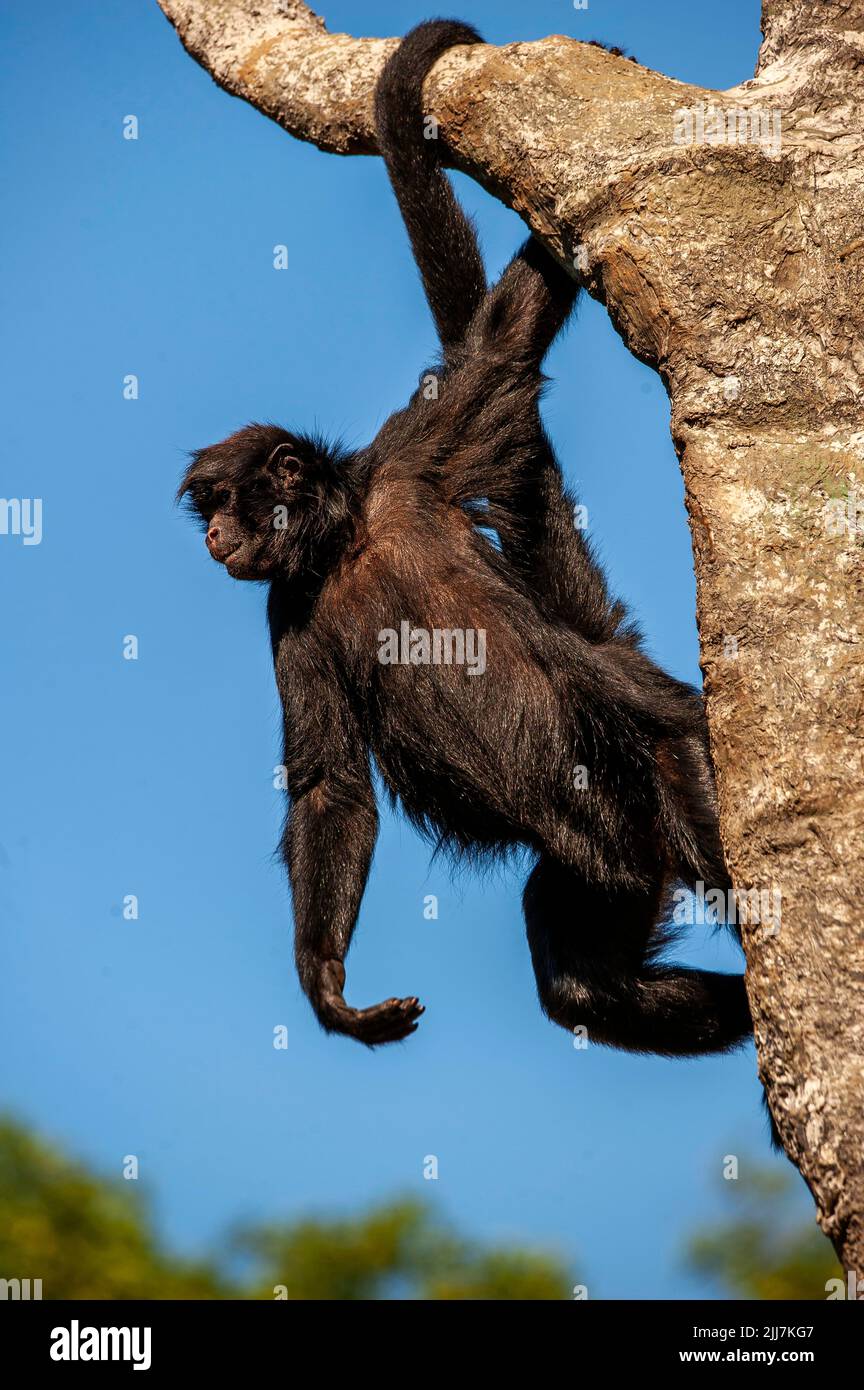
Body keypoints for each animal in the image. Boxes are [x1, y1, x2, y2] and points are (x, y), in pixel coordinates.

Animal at [178, 20, 752, 1058]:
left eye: (225, 505)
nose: (212, 538)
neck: (350, 543)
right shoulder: (288, 607)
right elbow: (330, 787)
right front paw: (330, 989)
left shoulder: (418, 455)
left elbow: (502, 345)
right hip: (601, 861)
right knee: (582, 982)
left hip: (652, 764)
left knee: (673, 761)